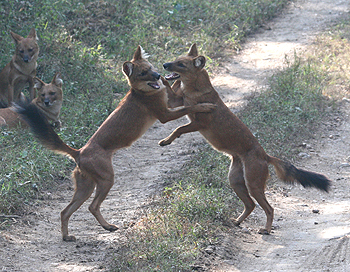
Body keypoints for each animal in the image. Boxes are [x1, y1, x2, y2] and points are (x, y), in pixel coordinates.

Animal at [17, 45, 216, 241]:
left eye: (150, 67)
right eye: (143, 73)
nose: (158, 74)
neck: (143, 91)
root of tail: (79, 152)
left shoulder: (169, 102)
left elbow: (176, 89)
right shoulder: (165, 114)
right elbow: (188, 107)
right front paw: (205, 106)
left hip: (85, 187)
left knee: (65, 211)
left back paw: (68, 236)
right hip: (106, 179)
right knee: (92, 206)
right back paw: (107, 226)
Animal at [160, 43, 332, 235]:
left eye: (181, 64)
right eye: (176, 59)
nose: (165, 65)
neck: (194, 89)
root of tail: (265, 156)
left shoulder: (199, 123)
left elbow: (179, 128)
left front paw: (166, 141)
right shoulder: (177, 103)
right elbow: (171, 93)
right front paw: (162, 80)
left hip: (253, 183)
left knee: (268, 208)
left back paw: (265, 229)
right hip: (235, 180)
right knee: (250, 205)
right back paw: (236, 222)